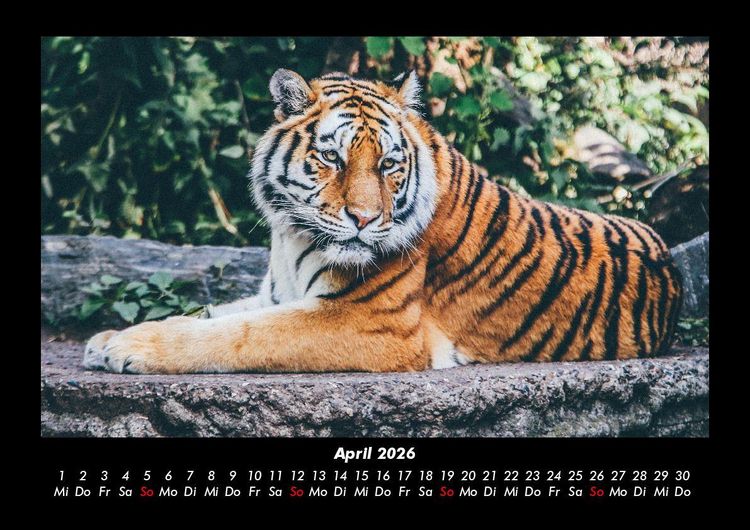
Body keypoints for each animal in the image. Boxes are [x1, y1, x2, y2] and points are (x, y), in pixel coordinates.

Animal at [83, 68, 683, 374]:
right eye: (332, 158)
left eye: (390, 165)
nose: (365, 219)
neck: (290, 236)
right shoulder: (276, 293)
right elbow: (211, 313)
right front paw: (109, 337)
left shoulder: (369, 322)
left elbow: (237, 335)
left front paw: (128, 348)